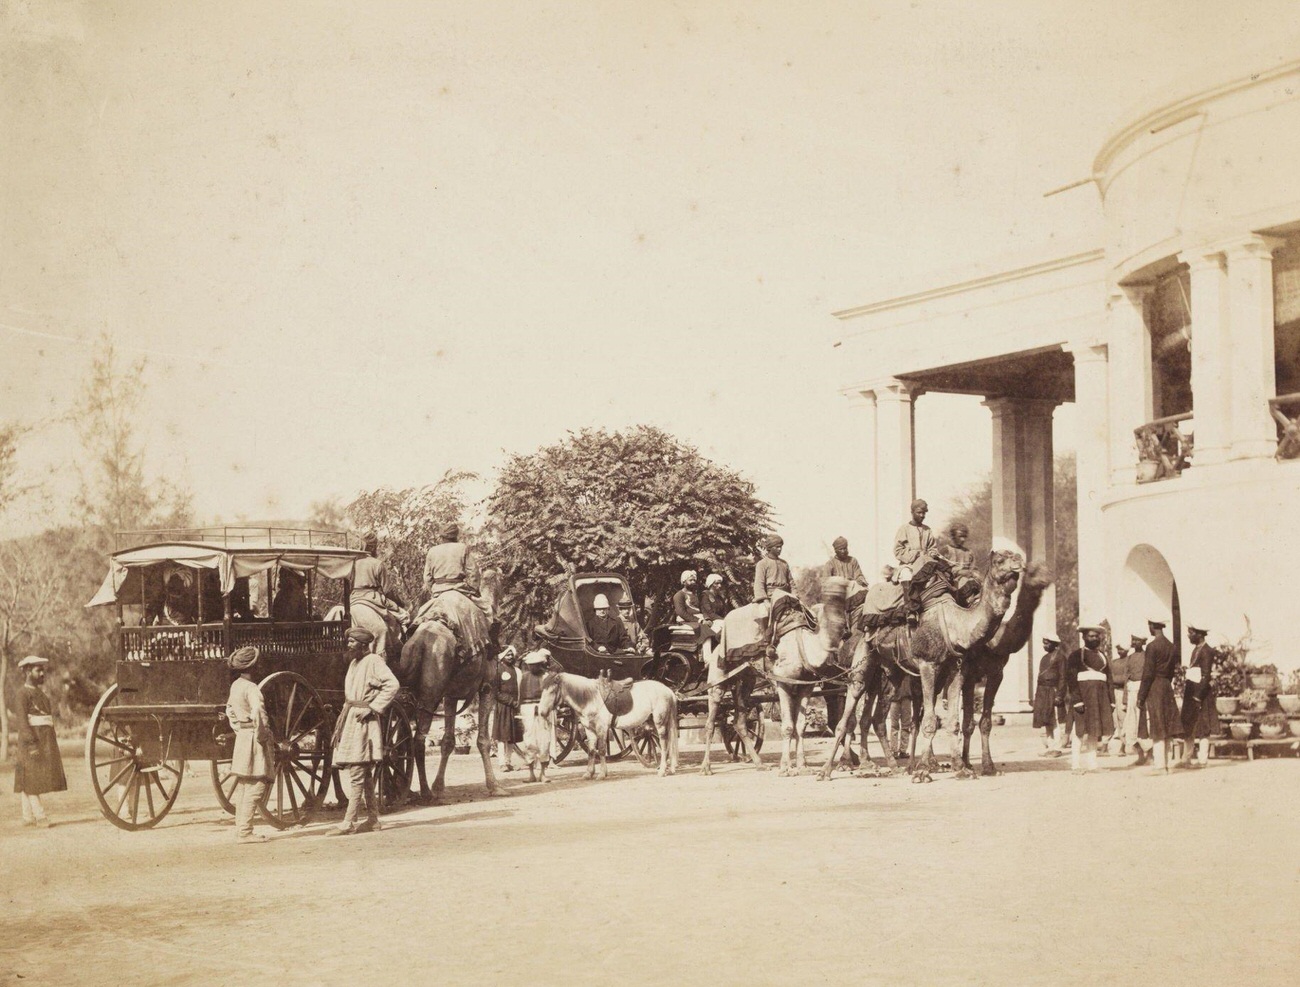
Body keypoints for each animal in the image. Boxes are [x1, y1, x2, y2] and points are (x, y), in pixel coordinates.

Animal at [821, 551, 1024, 785]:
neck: (955, 625)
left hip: (890, 672)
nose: (1019, 563)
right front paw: (923, 771)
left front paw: (961, 769)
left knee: (877, 719)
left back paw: (893, 767)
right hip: (863, 660)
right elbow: (929, 721)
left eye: (1014, 555)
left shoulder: (958, 670)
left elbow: (953, 722)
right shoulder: (928, 665)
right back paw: (828, 770)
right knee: (848, 712)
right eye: (1000, 560)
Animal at [961, 559, 1050, 775]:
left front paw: (988, 766)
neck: (993, 641)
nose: (1048, 578)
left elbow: (985, 722)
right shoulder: (969, 675)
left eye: (1047, 568)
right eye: (1033, 571)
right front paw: (965, 764)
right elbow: (967, 723)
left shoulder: (996, 674)